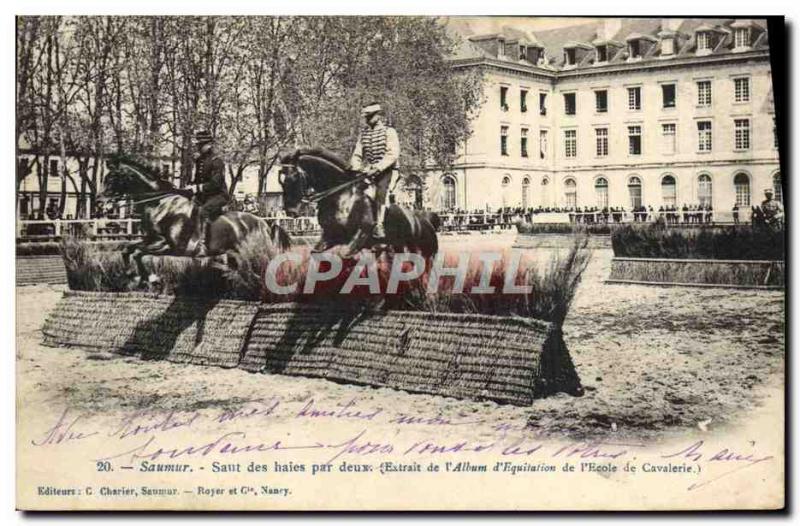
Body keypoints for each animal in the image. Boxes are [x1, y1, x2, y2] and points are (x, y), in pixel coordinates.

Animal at [101, 156, 290, 288]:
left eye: (112, 178)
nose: (103, 205)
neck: (161, 203)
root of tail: (265, 223)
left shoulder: (169, 246)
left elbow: (138, 253)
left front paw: (151, 278)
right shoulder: (151, 239)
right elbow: (128, 249)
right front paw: (132, 275)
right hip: (233, 254)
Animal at [280, 146, 444, 262]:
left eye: (294, 177)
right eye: (281, 180)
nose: (291, 211)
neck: (343, 197)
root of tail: (425, 219)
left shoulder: (361, 235)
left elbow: (345, 256)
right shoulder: (330, 235)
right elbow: (317, 253)